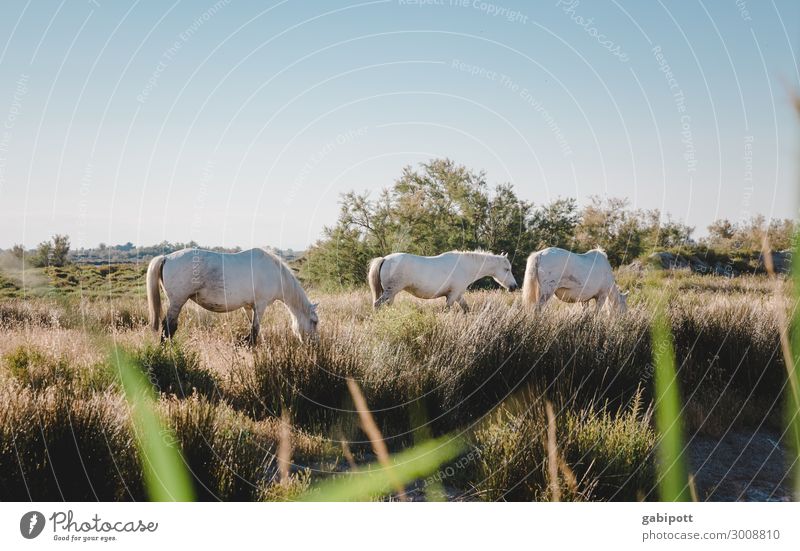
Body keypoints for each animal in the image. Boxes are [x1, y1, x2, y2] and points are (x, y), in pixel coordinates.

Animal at [147, 247, 318, 342]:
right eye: (314, 322)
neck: (275, 274)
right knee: (168, 327)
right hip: (177, 301)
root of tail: (166, 257)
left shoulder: (249, 307)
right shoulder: (260, 305)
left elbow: (254, 329)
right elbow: (254, 331)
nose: (314, 344)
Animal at [368, 250, 520, 310]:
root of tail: (385, 259)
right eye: (507, 269)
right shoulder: (452, 296)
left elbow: (466, 309)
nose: (514, 286)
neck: (465, 266)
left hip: (391, 294)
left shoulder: (458, 295)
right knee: (376, 304)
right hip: (390, 292)